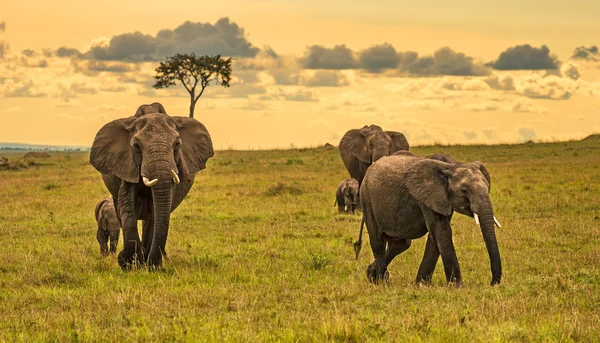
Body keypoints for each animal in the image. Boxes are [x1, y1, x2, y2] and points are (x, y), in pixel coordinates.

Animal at [90, 103, 214, 270]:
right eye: (136, 146)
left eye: (177, 144)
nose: (155, 264)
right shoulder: (127, 164)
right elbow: (127, 205)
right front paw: (129, 264)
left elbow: (158, 211)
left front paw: (149, 265)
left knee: (150, 218)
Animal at [352, 152, 502, 286]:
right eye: (464, 191)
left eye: (487, 187)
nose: (492, 283)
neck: (452, 166)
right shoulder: (427, 195)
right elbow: (442, 231)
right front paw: (457, 285)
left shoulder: (442, 199)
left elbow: (436, 234)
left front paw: (422, 284)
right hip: (367, 198)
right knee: (378, 241)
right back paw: (382, 282)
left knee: (401, 244)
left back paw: (373, 276)